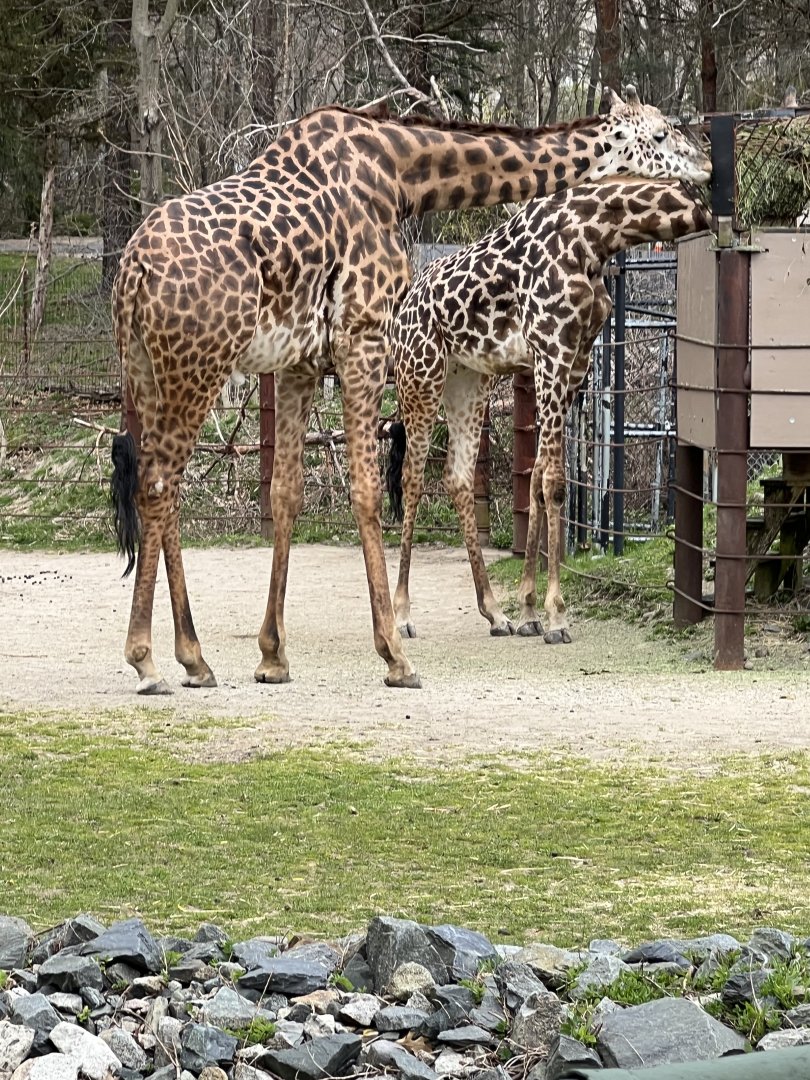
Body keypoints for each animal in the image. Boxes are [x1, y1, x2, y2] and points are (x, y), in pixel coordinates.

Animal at [388, 180, 710, 643]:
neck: (598, 232)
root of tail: (399, 313)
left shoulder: (574, 361)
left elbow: (539, 477)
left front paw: (527, 612)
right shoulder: (552, 354)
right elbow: (555, 481)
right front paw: (556, 616)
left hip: (468, 380)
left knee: (457, 476)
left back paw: (495, 613)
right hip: (420, 377)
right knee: (411, 478)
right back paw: (401, 615)